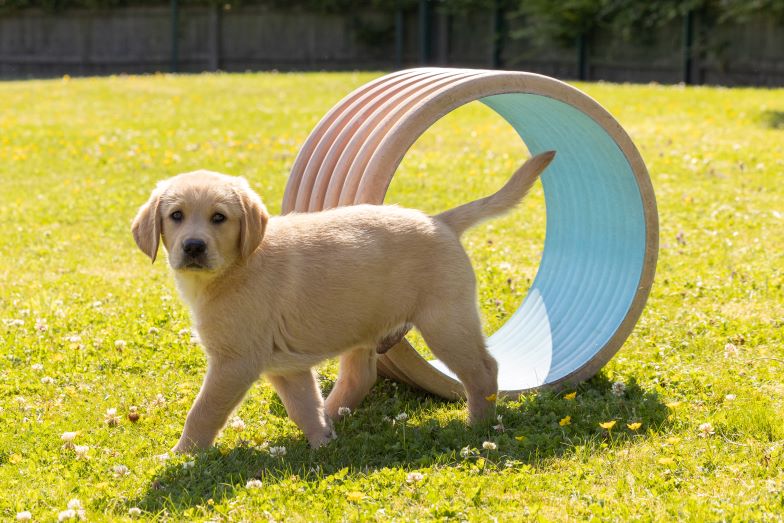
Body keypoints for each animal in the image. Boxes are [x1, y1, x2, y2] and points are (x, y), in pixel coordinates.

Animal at [132, 151, 556, 454]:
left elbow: (203, 412)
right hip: (370, 326)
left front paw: (181, 456)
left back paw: (480, 425)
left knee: (484, 369)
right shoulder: (286, 368)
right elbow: (304, 407)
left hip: (445, 323)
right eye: (176, 216)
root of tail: (440, 220)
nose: (193, 247)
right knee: (360, 377)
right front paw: (322, 443)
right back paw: (335, 415)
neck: (236, 267)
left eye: (219, 218)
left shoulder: (234, 363)